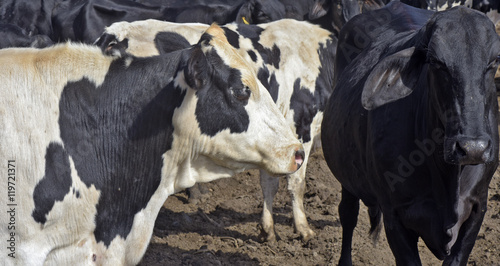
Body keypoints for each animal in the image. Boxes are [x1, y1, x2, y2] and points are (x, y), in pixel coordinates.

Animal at [95, 17, 338, 242]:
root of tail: (113, 34)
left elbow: (269, 183)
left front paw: (268, 230)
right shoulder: (301, 125)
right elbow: (296, 183)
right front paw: (304, 229)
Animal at [322, 1, 500, 264]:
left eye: (494, 61)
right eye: (436, 62)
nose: (472, 149)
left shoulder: (478, 208)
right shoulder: (394, 215)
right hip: (346, 177)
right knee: (348, 214)